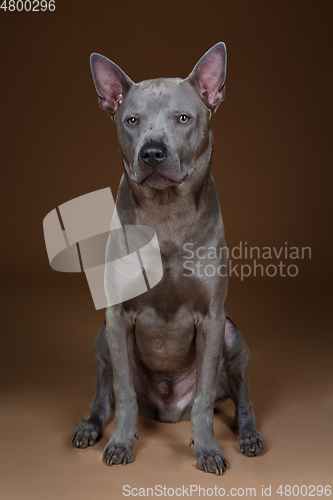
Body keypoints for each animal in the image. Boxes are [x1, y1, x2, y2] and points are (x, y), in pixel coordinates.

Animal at [71, 42, 264, 472]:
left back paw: (249, 436)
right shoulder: (118, 315)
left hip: (233, 339)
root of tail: (170, 408)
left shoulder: (211, 318)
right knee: (104, 394)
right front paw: (120, 444)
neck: (166, 215)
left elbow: (206, 399)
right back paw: (89, 427)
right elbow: (124, 394)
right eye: (131, 120)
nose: (153, 153)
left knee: (240, 399)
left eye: (183, 118)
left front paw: (208, 450)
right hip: (102, 339)